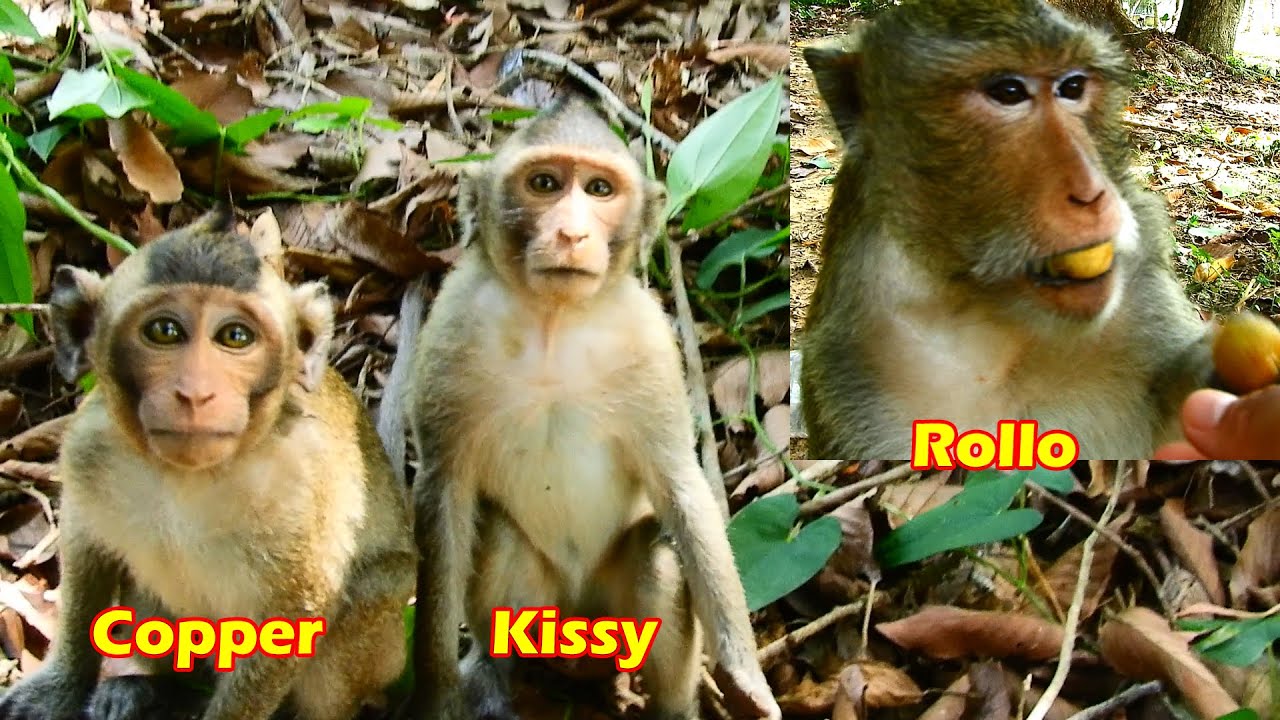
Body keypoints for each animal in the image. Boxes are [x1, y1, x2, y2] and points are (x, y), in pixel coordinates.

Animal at [0, 209, 416, 720]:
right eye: (164, 331)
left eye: (235, 337)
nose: (195, 393)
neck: (188, 478)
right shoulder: (88, 446)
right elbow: (86, 546)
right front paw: (62, 684)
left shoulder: (301, 476)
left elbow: (298, 608)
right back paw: (151, 689)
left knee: (360, 605)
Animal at [383, 97, 781, 719]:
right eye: (544, 183)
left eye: (599, 189)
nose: (572, 232)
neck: (554, 322)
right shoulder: (451, 332)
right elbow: (443, 495)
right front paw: (436, 691)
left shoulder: (650, 343)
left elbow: (680, 484)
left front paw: (745, 677)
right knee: (495, 534)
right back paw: (495, 677)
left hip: (612, 620)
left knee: (659, 552)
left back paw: (670, 706)